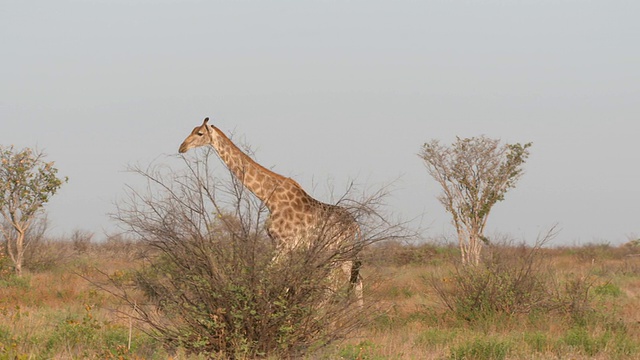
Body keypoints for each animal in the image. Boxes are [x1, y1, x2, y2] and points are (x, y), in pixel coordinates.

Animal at [178, 116, 362, 306]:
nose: (182, 147)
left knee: (337, 283)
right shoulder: (281, 245)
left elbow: (265, 277)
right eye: (192, 130)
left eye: (200, 133)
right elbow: (281, 280)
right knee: (355, 282)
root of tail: (355, 226)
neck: (270, 199)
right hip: (342, 253)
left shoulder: (284, 245)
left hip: (337, 251)